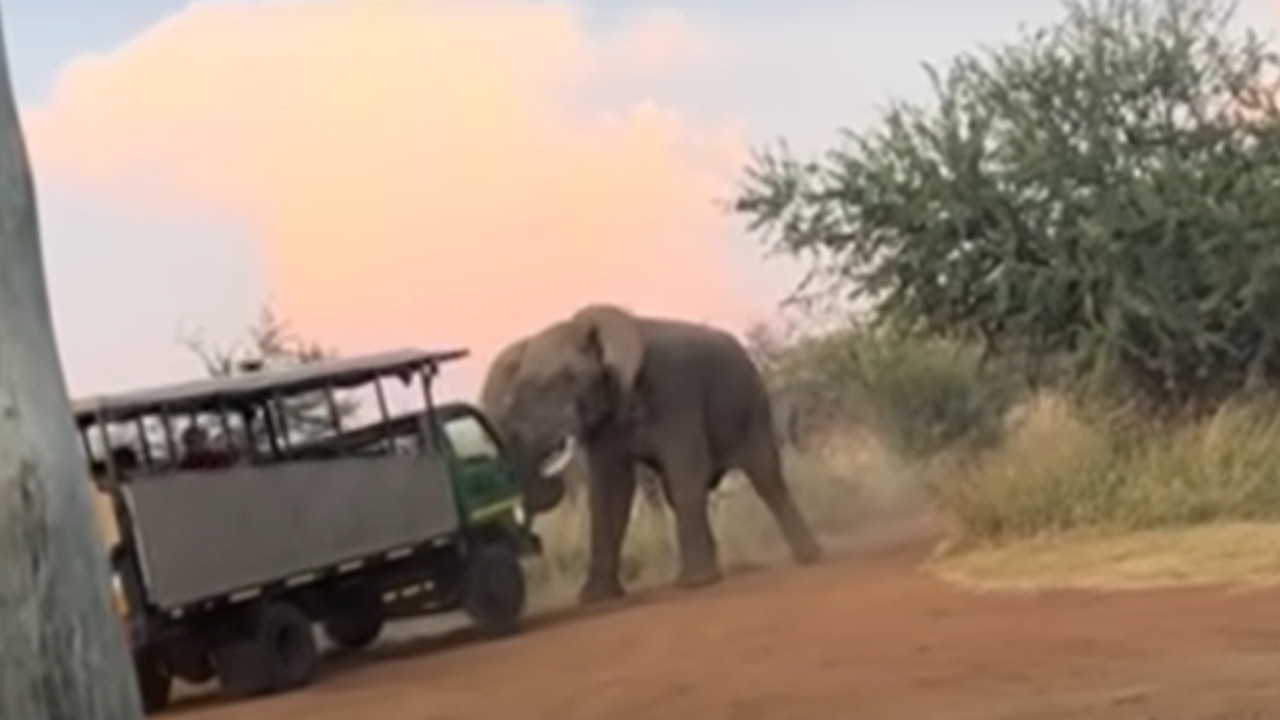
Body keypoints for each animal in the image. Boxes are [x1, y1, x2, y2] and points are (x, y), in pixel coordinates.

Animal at [478, 302, 819, 599]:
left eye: (571, 378)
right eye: (521, 391)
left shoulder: (676, 393)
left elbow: (686, 472)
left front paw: (696, 584)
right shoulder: (607, 420)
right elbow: (609, 492)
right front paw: (595, 598)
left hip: (752, 403)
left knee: (766, 477)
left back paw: (809, 558)